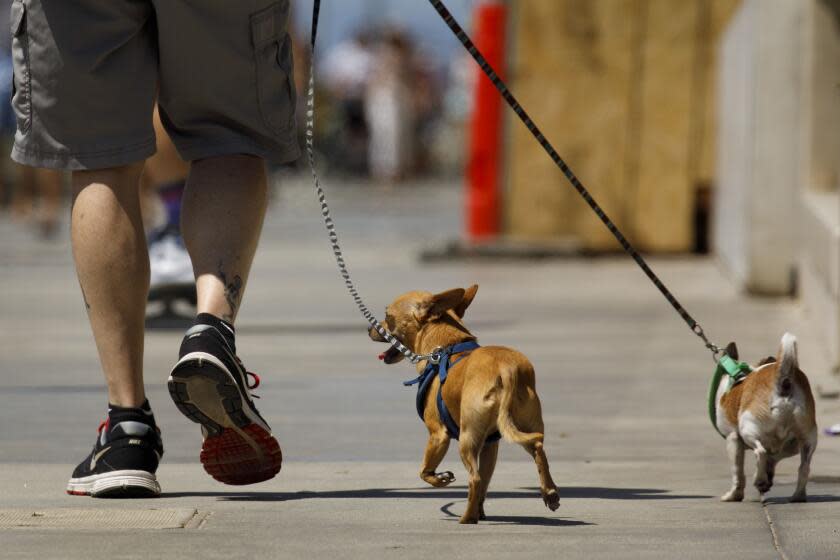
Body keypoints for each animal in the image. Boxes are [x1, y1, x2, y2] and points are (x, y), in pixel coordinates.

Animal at [720, 332, 816, 504]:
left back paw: (758, 479)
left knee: (760, 452)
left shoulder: (733, 439)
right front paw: (766, 481)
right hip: (806, 438)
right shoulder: (785, 447)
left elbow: (737, 471)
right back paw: (797, 496)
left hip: (748, 429)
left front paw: (734, 495)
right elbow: (772, 460)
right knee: (804, 467)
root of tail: (783, 379)